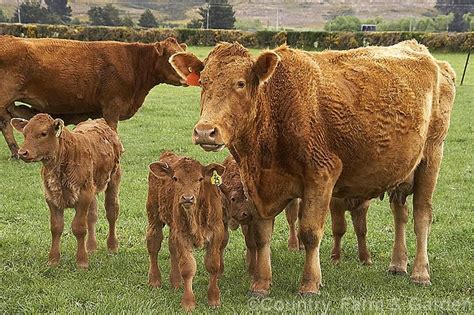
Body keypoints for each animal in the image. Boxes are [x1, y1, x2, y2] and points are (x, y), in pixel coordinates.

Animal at [0, 36, 189, 158]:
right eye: (172, 56)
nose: (190, 75)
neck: (133, 63)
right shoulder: (112, 104)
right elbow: (112, 128)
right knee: (5, 123)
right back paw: (15, 151)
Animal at [11, 114, 123, 270]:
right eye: (25, 133)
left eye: (43, 133)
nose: (22, 153)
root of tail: (98, 120)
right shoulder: (51, 197)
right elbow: (56, 227)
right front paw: (53, 261)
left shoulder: (83, 196)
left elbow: (79, 227)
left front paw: (82, 262)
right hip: (92, 188)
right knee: (92, 216)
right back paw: (91, 247)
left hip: (113, 179)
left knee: (112, 212)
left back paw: (112, 246)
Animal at [146, 152, 228, 312]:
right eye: (175, 178)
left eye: (200, 179)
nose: (188, 198)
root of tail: (168, 153)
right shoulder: (182, 235)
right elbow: (188, 268)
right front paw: (188, 303)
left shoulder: (217, 233)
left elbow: (213, 265)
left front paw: (214, 299)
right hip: (153, 214)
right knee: (153, 244)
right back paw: (155, 280)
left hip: (173, 226)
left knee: (172, 247)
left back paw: (176, 281)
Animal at [170, 40, 456, 296]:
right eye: (203, 83)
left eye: (240, 83)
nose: (205, 131)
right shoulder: (256, 185)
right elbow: (262, 235)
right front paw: (261, 284)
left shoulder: (322, 174)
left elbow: (309, 232)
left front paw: (310, 284)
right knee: (400, 213)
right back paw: (398, 263)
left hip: (432, 155)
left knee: (422, 215)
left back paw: (420, 272)